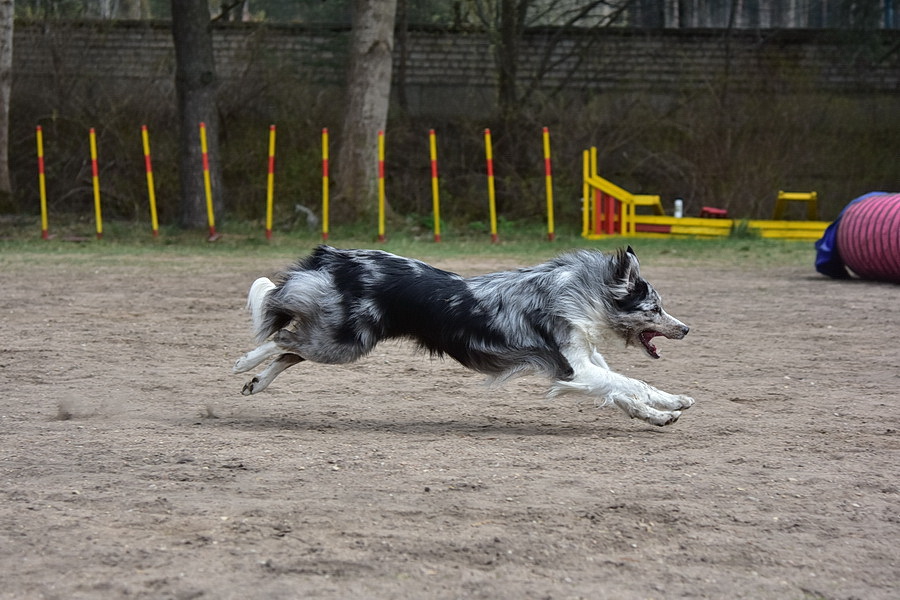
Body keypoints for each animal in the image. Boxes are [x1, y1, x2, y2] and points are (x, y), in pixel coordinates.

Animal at [233, 245, 694, 426]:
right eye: (654, 308)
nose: (687, 328)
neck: (583, 294)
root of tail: (336, 258)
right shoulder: (573, 368)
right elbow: (631, 382)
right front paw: (671, 403)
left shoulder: (584, 367)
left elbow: (623, 391)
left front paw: (662, 411)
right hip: (345, 343)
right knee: (283, 337)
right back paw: (244, 364)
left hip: (339, 339)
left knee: (291, 349)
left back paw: (256, 382)